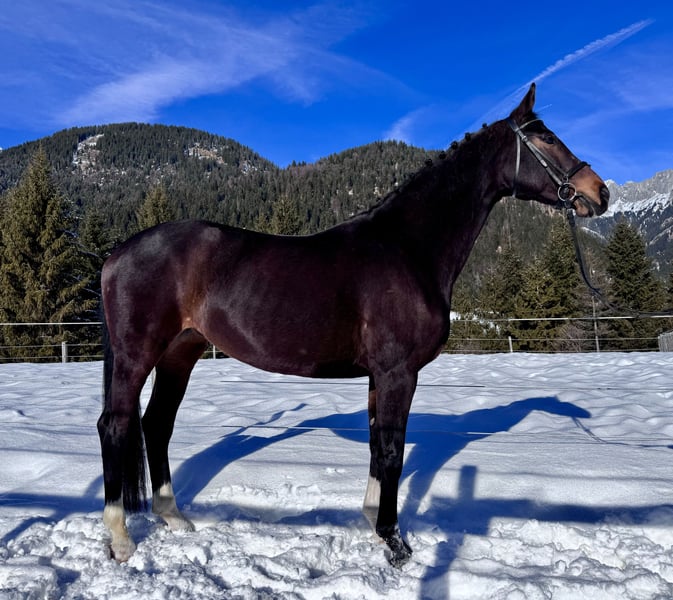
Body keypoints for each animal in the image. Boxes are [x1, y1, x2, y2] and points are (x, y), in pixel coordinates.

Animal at [97, 83, 609, 567]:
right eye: (546, 137)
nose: (599, 192)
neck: (407, 248)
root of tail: (118, 254)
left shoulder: (379, 376)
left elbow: (376, 447)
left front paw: (373, 523)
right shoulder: (399, 373)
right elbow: (393, 452)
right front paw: (395, 543)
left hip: (180, 352)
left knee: (156, 424)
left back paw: (174, 518)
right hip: (137, 354)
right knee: (115, 426)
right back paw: (120, 540)